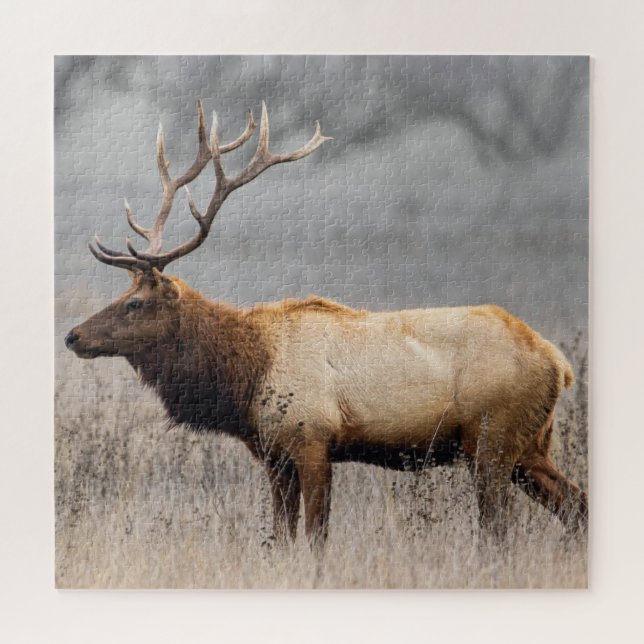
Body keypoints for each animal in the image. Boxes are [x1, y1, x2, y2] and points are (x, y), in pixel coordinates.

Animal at [65, 100, 588, 548]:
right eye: (121, 295)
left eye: (135, 303)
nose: (72, 335)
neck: (246, 378)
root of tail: (558, 363)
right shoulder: (273, 455)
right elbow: (281, 539)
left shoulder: (312, 438)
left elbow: (315, 538)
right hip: (530, 446)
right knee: (576, 507)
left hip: (491, 440)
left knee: (500, 531)